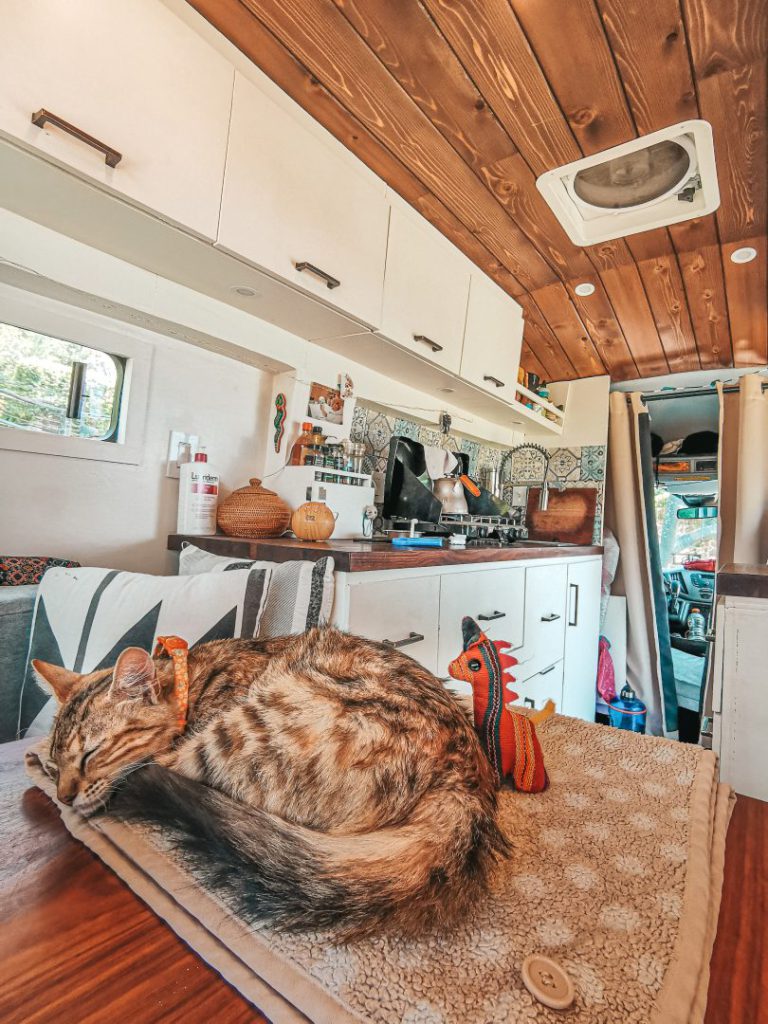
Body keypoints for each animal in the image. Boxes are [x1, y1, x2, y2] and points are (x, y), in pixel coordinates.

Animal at [34, 622, 512, 937]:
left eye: (91, 753)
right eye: (60, 763)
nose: (64, 796)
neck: (193, 680)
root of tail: (466, 781)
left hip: (245, 727)